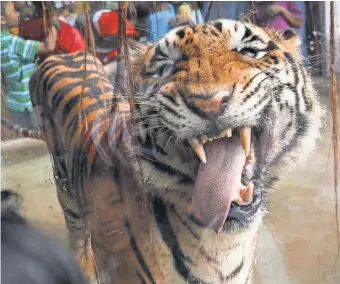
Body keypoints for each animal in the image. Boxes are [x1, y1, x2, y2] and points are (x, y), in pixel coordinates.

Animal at [0, 18, 324, 282]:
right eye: (166, 67)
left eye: (249, 52)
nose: (209, 102)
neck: (221, 243)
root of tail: (60, 54)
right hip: (65, 190)